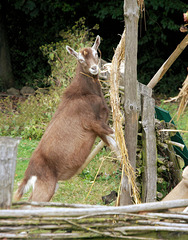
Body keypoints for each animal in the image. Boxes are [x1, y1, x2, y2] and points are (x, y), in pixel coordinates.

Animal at [14, 34, 117, 202]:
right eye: (80, 59)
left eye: (96, 53)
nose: (94, 68)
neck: (85, 93)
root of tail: (29, 174)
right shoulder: (93, 122)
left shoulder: (99, 129)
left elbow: (114, 144)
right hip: (45, 186)